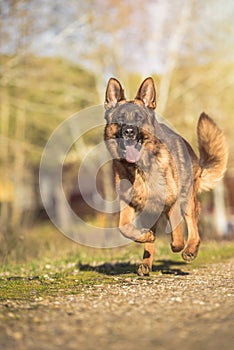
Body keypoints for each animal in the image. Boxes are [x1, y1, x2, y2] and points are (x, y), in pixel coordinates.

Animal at [103, 77, 227, 276]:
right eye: (120, 119)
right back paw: (147, 261)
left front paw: (178, 245)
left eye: (139, 118)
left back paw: (190, 249)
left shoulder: (172, 202)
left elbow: (177, 236)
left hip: (187, 199)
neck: (140, 168)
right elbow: (124, 228)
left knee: (193, 227)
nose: (129, 132)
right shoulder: (127, 203)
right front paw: (144, 236)